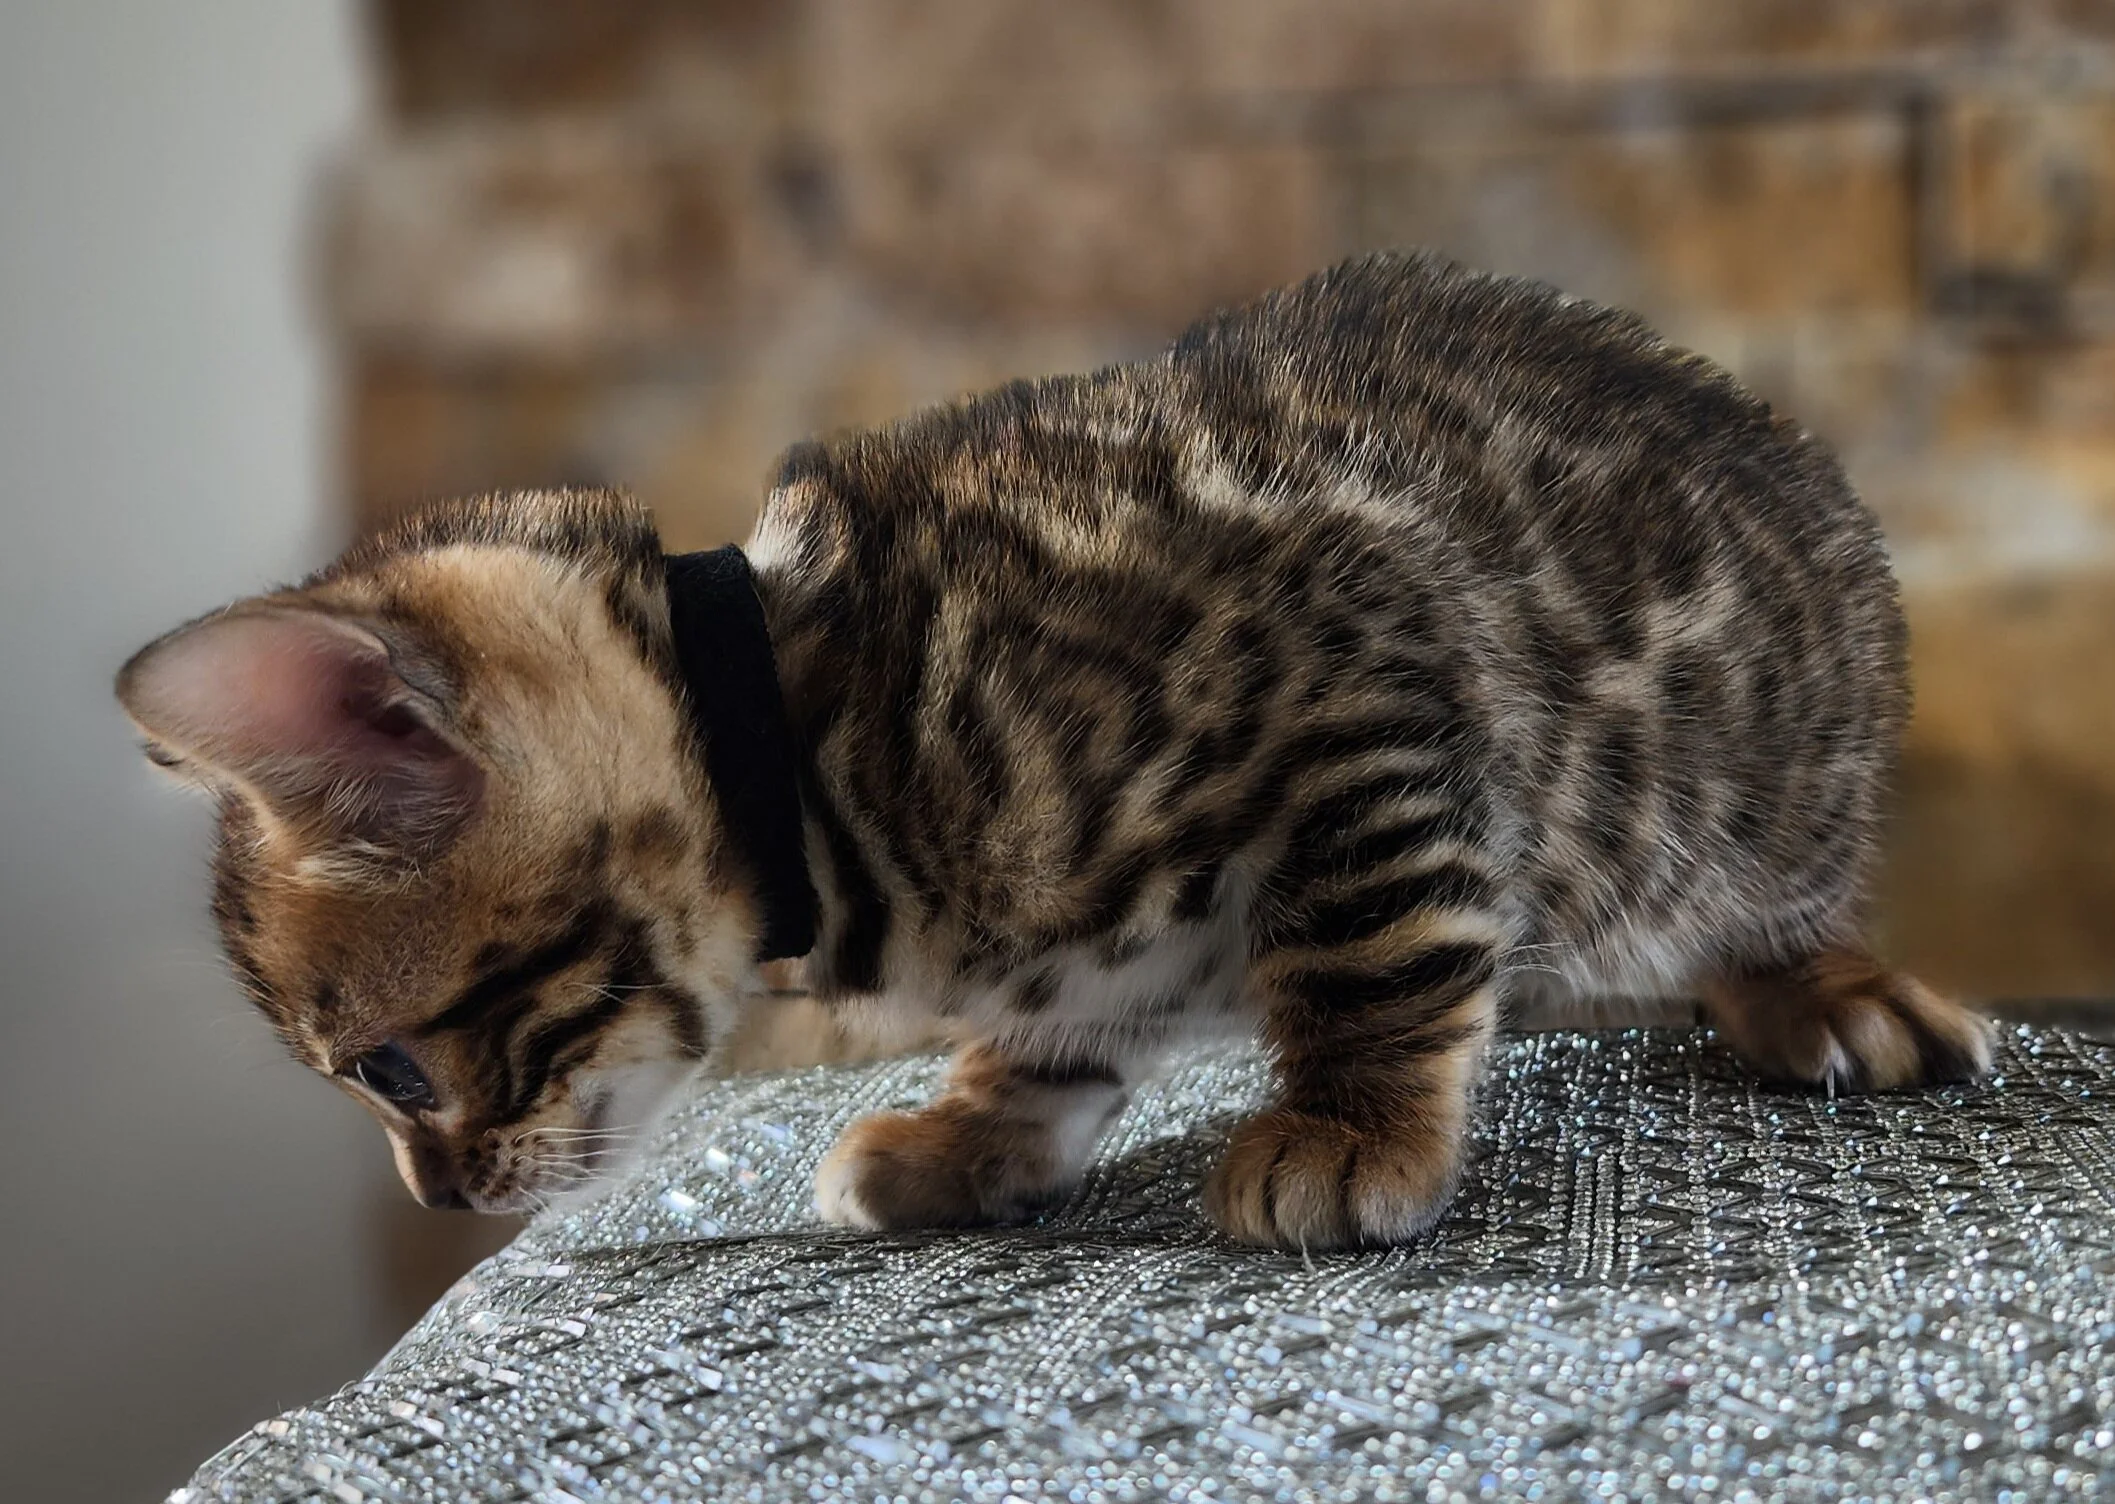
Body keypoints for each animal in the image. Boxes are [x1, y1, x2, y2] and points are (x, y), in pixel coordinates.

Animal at [117, 251, 1990, 1249]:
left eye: (389, 1071)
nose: (438, 1198)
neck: (812, 738)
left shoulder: (1360, 663)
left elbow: (1371, 944)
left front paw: (1352, 1118)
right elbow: (1060, 1026)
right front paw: (975, 1125)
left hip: (1766, 783)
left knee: (1750, 897)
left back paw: (1817, 985)